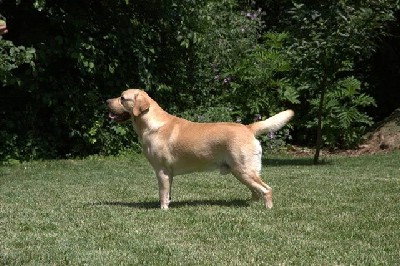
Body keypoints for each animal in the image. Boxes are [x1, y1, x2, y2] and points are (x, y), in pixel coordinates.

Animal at [106, 89, 294, 210]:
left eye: (122, 98)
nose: (106, 101)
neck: (151, 123)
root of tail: (248, 128)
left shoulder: (162, 170)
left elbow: (162, 193)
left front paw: (163, 209)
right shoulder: (169, 173)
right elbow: (169, 192)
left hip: (244, 169)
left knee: (266, 189)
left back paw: (267, 208)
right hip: (242, 171)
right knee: (256, 190)